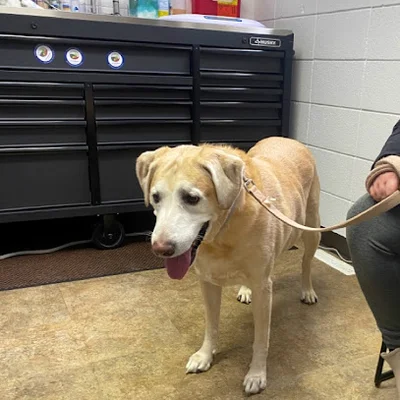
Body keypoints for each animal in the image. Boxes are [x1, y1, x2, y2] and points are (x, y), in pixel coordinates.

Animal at [136, 137, 321, 395]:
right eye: (155, 197)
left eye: (191, 198)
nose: (161, 249)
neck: (222, 234)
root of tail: (289, 139)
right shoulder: (208, 282)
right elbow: (211, 326)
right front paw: (204, 356)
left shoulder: (263, 288)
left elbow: (261, 338)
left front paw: (256, 374)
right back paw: (244, 290)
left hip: (311, 230)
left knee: (306, 262)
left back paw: (308, 290)